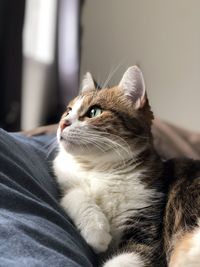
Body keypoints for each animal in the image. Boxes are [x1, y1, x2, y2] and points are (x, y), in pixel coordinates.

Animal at [53, 65, 200, 267]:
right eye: (68, 111)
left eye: (94, 112)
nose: (62, 123)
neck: (101, 168)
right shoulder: (68, 181)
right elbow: (73, 195)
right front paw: (96, 230)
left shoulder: (147, 233)